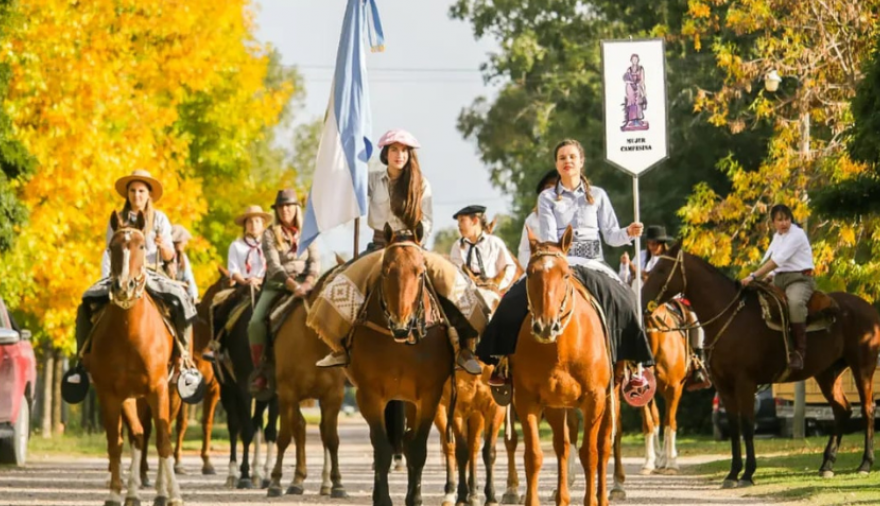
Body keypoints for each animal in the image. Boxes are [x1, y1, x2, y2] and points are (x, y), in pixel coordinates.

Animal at [84, 211, 184, 506]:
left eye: (141, 245)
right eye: (112, 246)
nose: (123, 285)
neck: (130, 333)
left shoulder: (158, 389)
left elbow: (163, 440)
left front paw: (173, 495)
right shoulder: (110, 394)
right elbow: (116, 443)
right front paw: (116, 493)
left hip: (171, 394)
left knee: (163, 436)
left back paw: (162, 492)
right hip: (131, 397)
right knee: (138, 435)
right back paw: (133, 493)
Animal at [266, 268, 348, 498]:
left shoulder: (333, 395)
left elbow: (332, 438)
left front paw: (338, 484)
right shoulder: (287, 394)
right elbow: (284, 436)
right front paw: (275, 482)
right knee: (298, 428)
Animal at [346, 225, 454, 506]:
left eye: (420, 272)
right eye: (386, 270)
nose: (401, 323)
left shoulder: (429, 396)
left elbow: (416, 448)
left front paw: (414, 497)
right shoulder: (370, 395)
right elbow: (381, 447)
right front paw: (382, 498)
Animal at [512, 227, 616, 506]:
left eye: (565, 274)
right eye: (530, 272)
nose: (546, 326)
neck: (560, 349)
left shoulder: (595, 399)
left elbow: (590, 453)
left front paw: (591, 501)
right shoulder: (527, 401)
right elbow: (534, 456)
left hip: (610, 400)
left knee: (603, 446)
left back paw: (604, 496)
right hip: (557, 407)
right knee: (562, 446)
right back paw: (562, 496)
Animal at [640, 243, 880, 488]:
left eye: (661, 269)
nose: (642, 301)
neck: (729, 317)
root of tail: (869, 309)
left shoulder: (745, 383)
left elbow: (747, 426)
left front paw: (747, 474)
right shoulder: (724, 386)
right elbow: (734, 427)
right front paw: (732, 474)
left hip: (863, 368)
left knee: (868, 409)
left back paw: (865, 464)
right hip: (827, 374)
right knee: (843, 409)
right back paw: (827, 465)